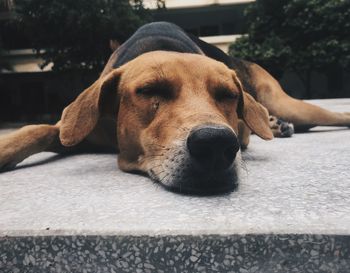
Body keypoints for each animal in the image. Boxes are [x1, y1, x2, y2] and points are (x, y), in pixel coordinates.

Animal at [0, 22, 350, 193]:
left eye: (228, 94)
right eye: (149, 90)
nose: (216, 144)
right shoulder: (79, 126)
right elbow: (36, 129)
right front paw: (6, 147)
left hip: (288, 103)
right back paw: (278, 125)